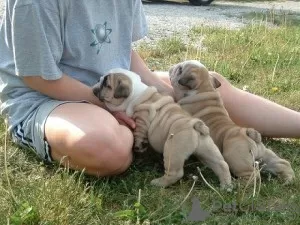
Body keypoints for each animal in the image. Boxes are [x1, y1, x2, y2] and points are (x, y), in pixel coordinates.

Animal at [92, 67, 233, 189]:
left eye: (106, 84)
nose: (96, 83)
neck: (135, 92)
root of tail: (195, 125)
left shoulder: (142, 117)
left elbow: (139, 132)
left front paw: (139, 145)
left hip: (173, 149)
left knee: (175, 173)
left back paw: (159, 183)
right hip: (207, 148)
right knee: (221, 164)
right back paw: (226, 186)